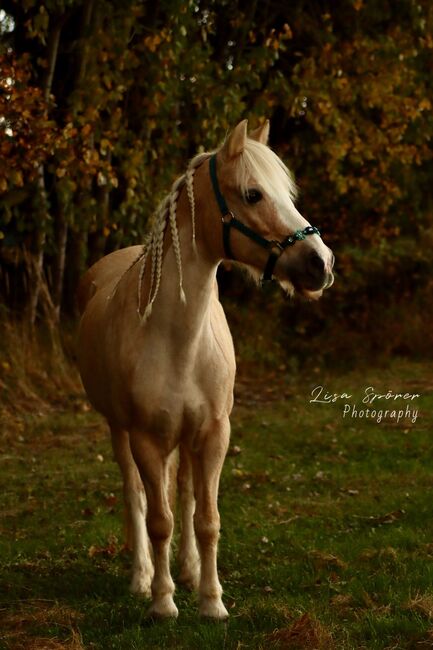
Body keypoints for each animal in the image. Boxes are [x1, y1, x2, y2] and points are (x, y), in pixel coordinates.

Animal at [77, 119, 334, 619]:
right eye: (253, 194)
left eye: (288, 193)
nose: (322, 262)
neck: (178, 340)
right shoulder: (146, 439)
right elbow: (158, 520)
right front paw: (162, 602)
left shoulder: (214, 434)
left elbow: (207, 518)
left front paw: (211, 600)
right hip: (120, 431)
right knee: (136, 496)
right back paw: (142, 577)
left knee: (185, 495)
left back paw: (190, 571)